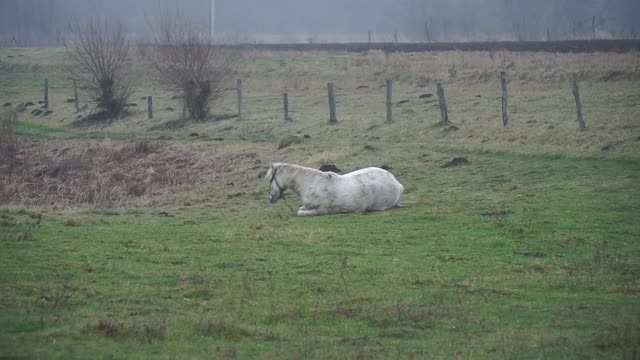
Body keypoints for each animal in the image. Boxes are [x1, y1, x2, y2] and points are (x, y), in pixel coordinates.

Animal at [266, 163, 404, 217]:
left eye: (270, 178)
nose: (270, 198)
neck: (311, 182)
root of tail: (396, 183)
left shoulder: (320, 210)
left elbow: (300, 212)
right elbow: (301, 208)